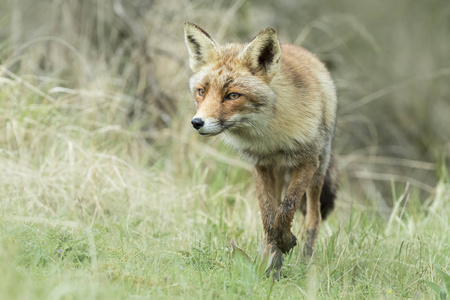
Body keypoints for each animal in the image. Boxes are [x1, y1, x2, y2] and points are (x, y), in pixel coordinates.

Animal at [184, 22, 338, 276]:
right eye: (201, 91)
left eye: (233, 95)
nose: (197, 123)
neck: (271, 137)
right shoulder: (260, 164)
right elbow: (269, 217)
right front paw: (274, 258)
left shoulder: (307, 161)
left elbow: (286, 208)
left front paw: (286, 242)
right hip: (278, 174)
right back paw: (272, 264)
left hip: (319, 170)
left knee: (313, 218)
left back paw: (305, 261)